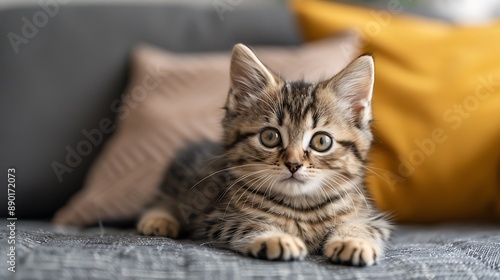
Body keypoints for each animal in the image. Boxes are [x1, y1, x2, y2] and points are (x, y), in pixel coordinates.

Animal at [137, 44, 390, 266]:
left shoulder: (371, 216)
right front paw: (276, 237)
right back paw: (158, 219)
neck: (300, 207)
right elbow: (247, 224)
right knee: (167, 199)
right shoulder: (215, 219)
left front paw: (353, 241)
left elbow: (363, 226)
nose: (293, 164)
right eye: (270, 137)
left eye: (321, 141)